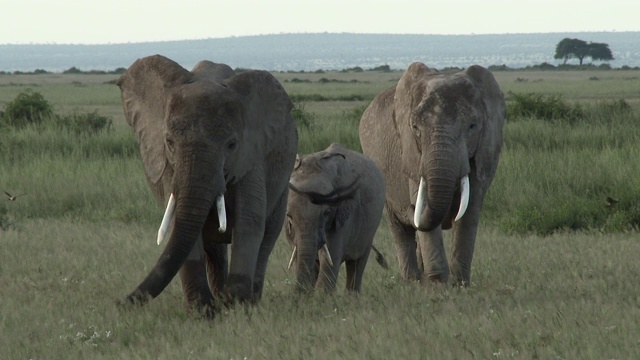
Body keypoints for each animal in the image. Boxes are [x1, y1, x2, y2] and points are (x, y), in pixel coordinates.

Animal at [117, 54, 298, 316]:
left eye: (231, 145)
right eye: (169, 142)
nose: (117, 302)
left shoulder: (250, 155)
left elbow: (249, 220)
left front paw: (237, 303)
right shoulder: (169, 166)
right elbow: (179, 222)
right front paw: (203, 311)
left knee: (267, 238)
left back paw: (247, 300)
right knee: (214, 250)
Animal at [286, 142, 388, 292]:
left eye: (327, 213)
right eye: (289, 216)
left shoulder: (345, 213)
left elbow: (330, 258)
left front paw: (321, 297)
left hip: (370, 229)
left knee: (357, 263)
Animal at [360, 62, 504, 286]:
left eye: (472, 126)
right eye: (415, 128)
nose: (410, 207)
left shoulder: (485, 151)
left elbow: (470, 210)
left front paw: (460, 285)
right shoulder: (411, 154)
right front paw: (438, 285)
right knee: (400, 229)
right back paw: (413, 281)